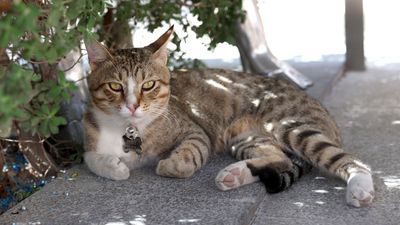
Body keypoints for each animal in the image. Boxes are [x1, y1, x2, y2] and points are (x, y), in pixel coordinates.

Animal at [83, 25, 376, 207]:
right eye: (115, 87)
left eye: (149, 85)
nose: (132, 106)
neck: (129, 128)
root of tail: (325, 113)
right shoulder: (89, 136)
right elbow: (90, 158)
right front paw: (113, 166)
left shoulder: (194, 130)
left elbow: (189, 154)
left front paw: (171, 164)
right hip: (245, 138)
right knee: (279, 158)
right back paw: (235, 174)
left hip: (290, 126)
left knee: (352, 161)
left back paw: (360, 188)